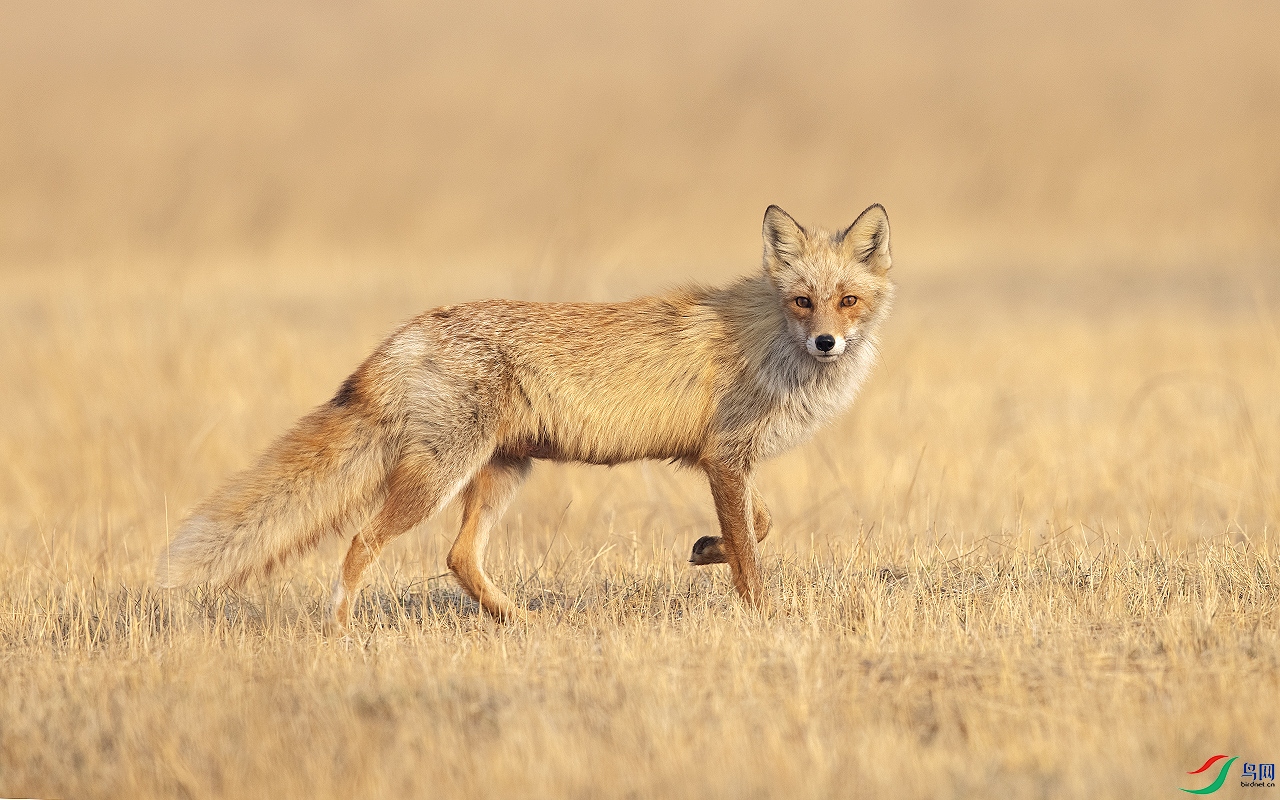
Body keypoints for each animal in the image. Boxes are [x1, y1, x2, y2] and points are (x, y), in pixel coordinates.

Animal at [154, 206, 896, 629]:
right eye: (803, 301)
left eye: (848, 301)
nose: (827, 343)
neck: (769, 338)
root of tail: (405, 333)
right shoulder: (724, 459)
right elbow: (750, 553)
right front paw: (764, 616)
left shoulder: (719, 460)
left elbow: (759, 527)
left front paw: (704, 550)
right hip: (440, 477)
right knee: (362, 543)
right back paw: (339, 632)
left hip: (504, 471)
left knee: (458, 557)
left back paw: (519, 622)